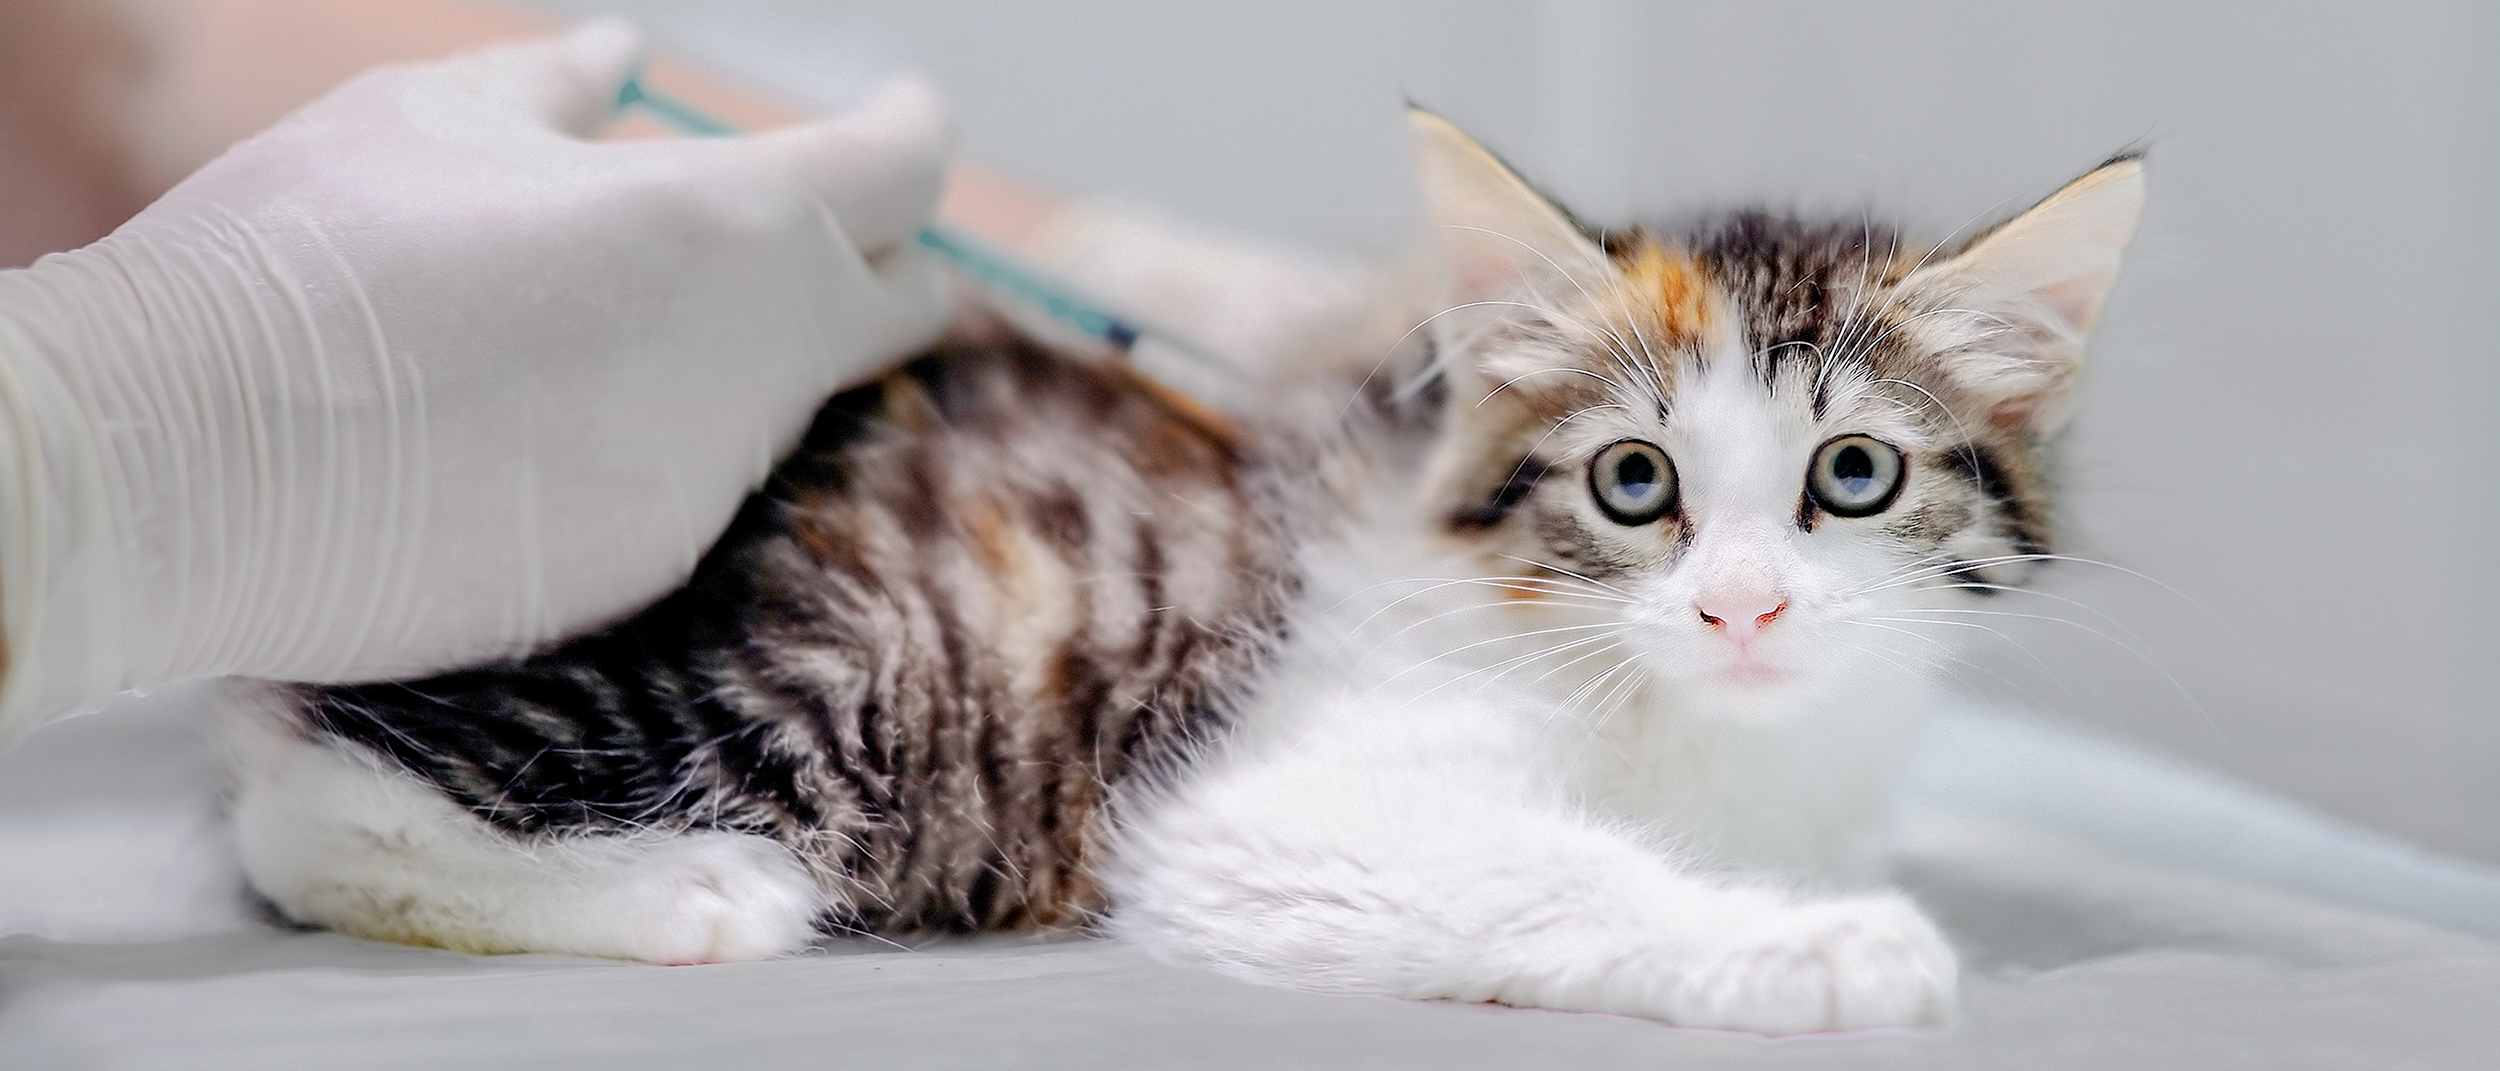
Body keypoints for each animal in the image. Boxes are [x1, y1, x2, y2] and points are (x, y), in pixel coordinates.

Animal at [225, 110, 2140, 1035]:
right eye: (1633, 480)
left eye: (1854, 475)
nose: (1744, 606)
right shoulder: (1270, 807)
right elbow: (1535, 872)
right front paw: (1814, 944)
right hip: (836, 662)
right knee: (303, 801)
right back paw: (680, 891)